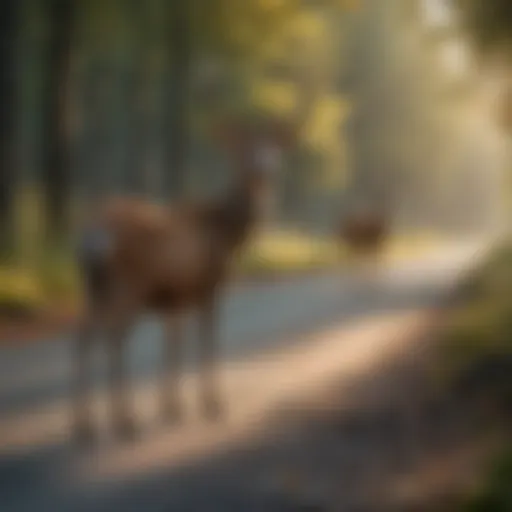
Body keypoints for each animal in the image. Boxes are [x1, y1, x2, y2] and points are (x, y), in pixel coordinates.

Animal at [73, 118, 294, 442]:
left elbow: (174, 343)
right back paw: (125, 422)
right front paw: (212, 404)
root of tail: (93, 232)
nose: (267, 168)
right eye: (244, 148)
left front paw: (172, 409)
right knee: (114, 336)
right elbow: (206, 340)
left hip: (93, 285)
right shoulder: (208, 285)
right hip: (127, 284)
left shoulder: (176, 296)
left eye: (273, 145)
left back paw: (85, 426)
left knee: (83, 335)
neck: (226, 234)